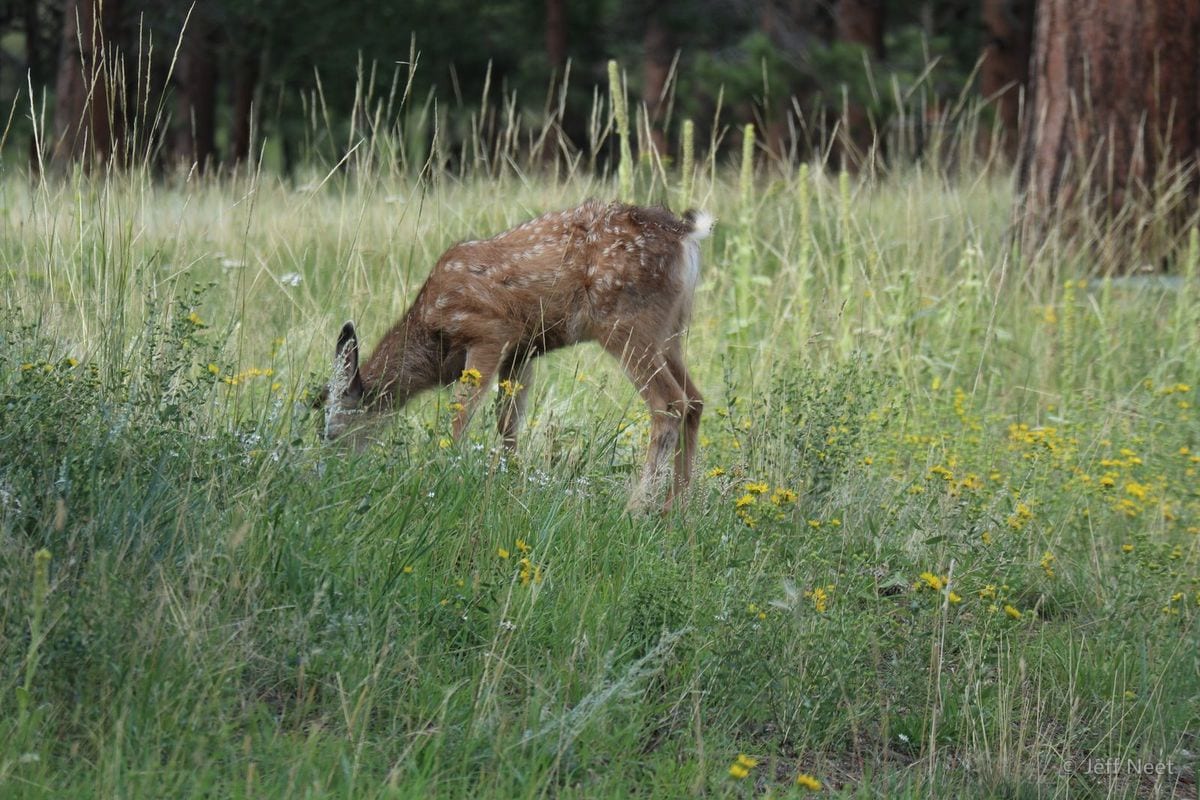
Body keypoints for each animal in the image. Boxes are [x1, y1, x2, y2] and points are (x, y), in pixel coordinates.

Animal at [317, 200, 713, 512]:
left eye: (331, 433)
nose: (328, 476)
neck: (432, 333)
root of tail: (686, 233)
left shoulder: (489, 332)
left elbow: (461, 415)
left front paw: (443, 473)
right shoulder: (522, 351)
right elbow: (507, 421)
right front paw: (514, 485)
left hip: (625, 323)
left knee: (669, 403)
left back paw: (637, 509)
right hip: (669, 331)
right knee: (695, 400)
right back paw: (676, 511)